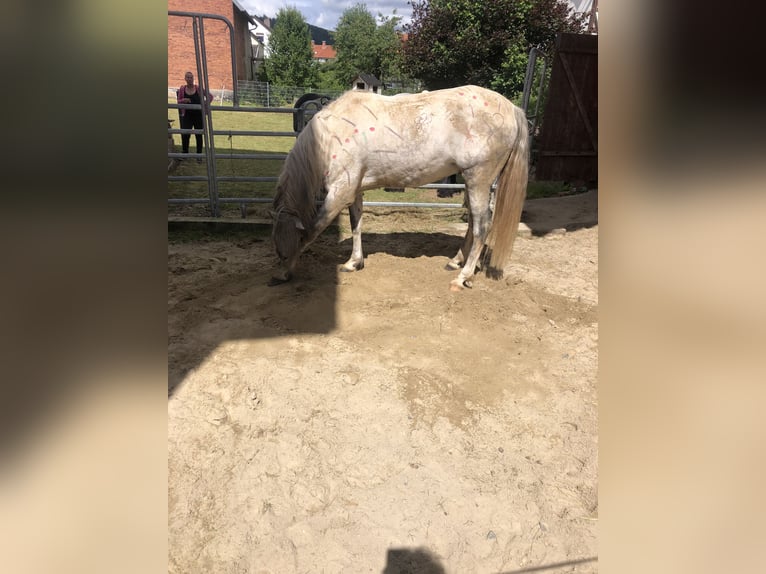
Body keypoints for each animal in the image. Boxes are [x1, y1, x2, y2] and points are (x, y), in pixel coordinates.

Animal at [271, 85, 529, 291]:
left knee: (481, 225)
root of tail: (511, 108)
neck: (332, 134)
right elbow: (356, 225)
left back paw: (463, 276)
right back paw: (455, 261)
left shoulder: (340, 192)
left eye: (283, 251)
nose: (277, 275)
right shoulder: (355, 191)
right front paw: (353, 263)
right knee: (473, 223)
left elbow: (313, 230)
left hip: (479, 179)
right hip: (472, 181)